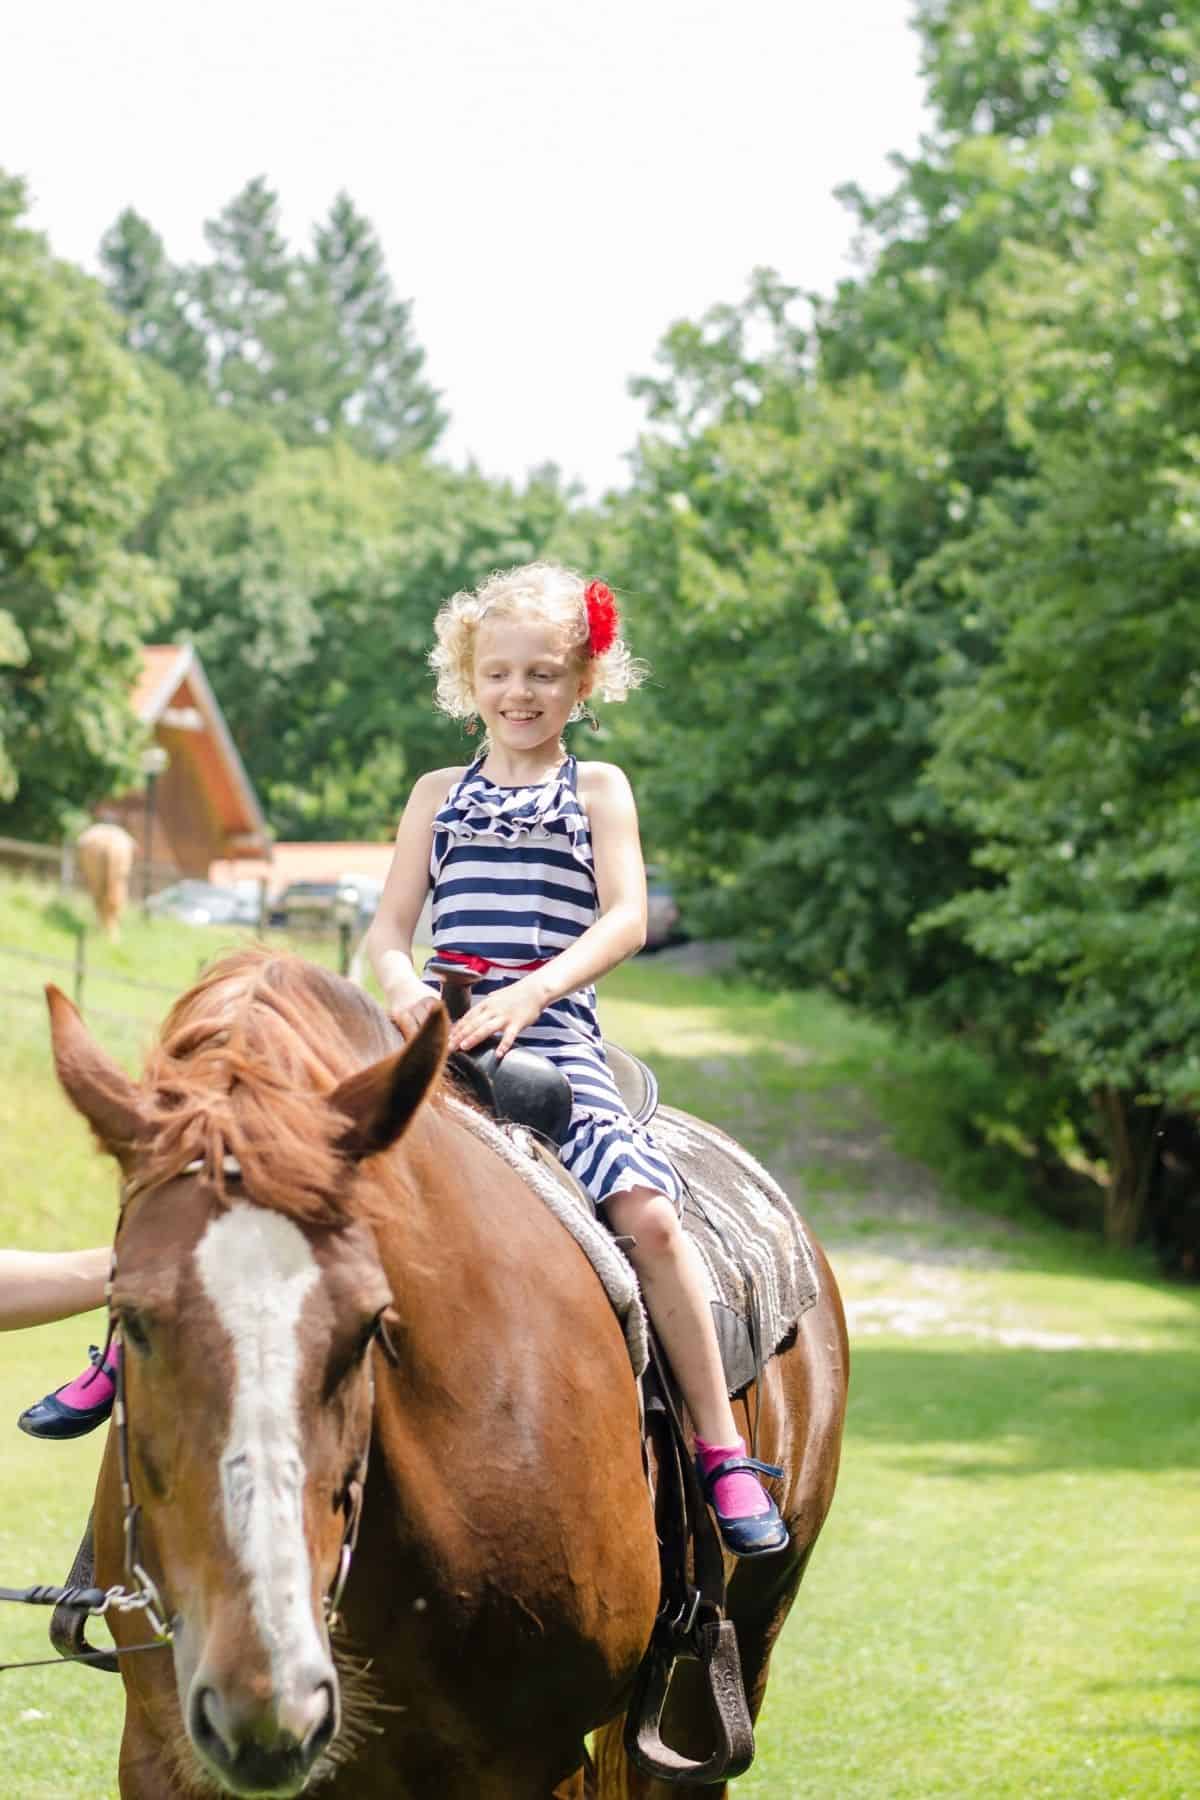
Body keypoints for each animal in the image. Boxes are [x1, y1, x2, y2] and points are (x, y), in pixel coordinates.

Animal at [44, 950, 845, 1792]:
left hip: (726, 1664)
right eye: (130, 1317)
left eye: (370, 1324)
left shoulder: (534, 1763)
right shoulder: (160, 1753)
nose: (264, 1693)